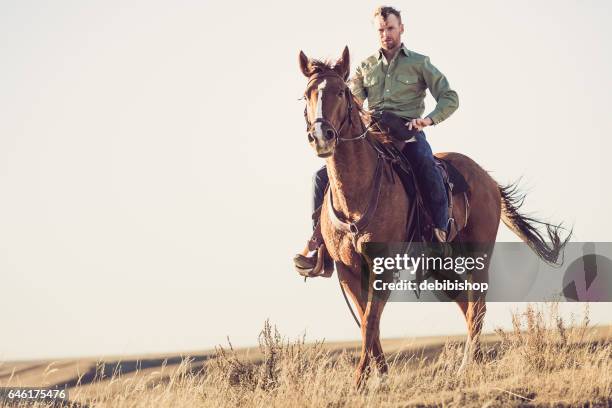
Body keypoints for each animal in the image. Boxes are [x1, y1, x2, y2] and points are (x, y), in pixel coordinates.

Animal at [296, 46, 568, 388]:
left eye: (341, 92)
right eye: (307, 94)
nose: (321, 136)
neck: (356, 195)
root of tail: (486, 178)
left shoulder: (384, 265)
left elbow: (370, 321)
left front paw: (362, 382)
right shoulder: (347, 270)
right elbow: (367, 321)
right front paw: (379, 376)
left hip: (478, 255)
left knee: (477, 305)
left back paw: (468, 365)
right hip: (439, 265)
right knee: (464, 303)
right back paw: (475, 360)